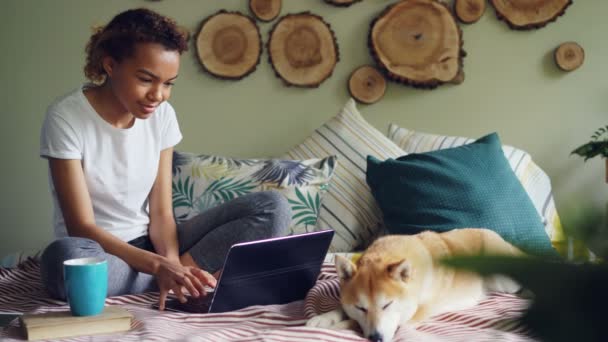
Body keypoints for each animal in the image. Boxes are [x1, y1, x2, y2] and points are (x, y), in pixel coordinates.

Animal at [308, 227, 524, 342]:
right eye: (361, 307)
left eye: (387, 305)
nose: (376, 338)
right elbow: (343, 309)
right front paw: (323, 318)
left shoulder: (413, 314)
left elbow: (352, 322)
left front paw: (337, 327)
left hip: (504, 280)